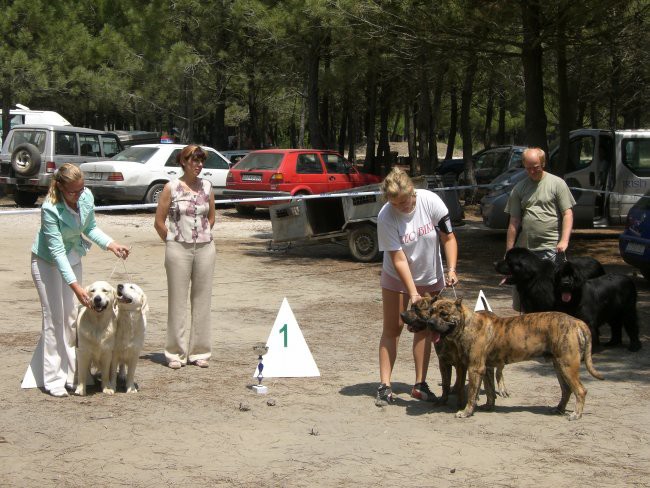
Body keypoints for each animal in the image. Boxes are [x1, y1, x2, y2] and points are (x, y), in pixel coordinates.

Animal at [400, 296, 604, 422]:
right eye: (431, 312)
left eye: (444, 314)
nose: (431, 323)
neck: (466, 325)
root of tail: (577, 322)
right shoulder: (486, 368)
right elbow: (490, 390)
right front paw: (488, 406)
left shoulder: (474, 368)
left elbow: (472, 393)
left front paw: (466, 411)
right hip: (559, 366)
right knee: (566, 390)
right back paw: (558, 409)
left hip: (567, 365)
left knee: (580, 390)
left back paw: (576, 415)